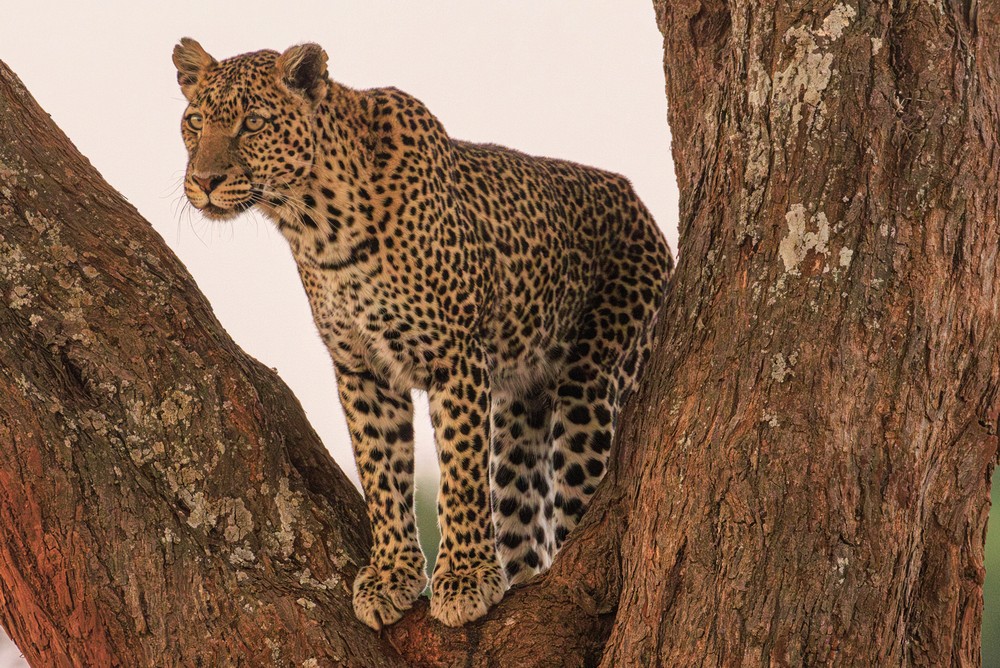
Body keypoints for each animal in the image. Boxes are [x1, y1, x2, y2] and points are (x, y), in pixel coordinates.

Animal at [173, 38, 673, 629]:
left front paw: (463, 578)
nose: (203, 182)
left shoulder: (454, 358)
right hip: (518, 415)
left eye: (252, 123)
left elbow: (458, 473)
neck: (317, 224)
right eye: (195, 122)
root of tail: (636, 200)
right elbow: (381, 470)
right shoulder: (359, 368)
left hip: (591, 388)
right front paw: (392, 574)